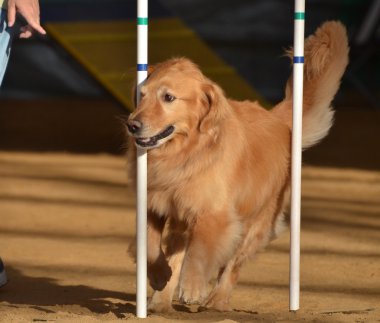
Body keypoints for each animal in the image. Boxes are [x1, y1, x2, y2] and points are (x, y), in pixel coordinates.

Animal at [126, 20, 348, 314]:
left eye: (169, 98)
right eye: (141, 95)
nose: (132, 124)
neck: (185, 153)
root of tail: (276, 119)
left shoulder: (215, 214)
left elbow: (200, 252)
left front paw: (193, 287)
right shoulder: (155, 202)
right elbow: (150, 245)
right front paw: (160, 275)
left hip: (254, 222)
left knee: (232, 266)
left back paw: (216, 300)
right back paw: (161, 301)